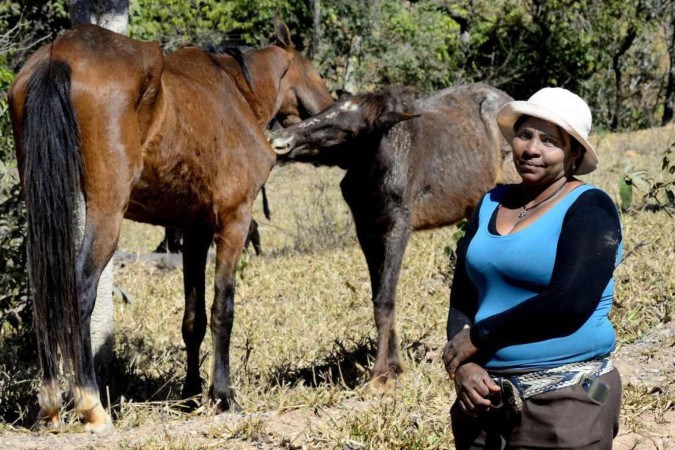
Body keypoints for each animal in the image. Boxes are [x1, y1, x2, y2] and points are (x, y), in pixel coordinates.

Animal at [5, 17, 332, 432]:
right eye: (314, 72)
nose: (330, 111)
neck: (236, 93)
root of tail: (58, 55)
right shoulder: (234, 221)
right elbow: (222, 310)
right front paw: (223, 395)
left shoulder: (193, 231)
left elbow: (193, 320)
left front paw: (191, 393)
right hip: (107, 211)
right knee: (77, 287)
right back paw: (91, 403)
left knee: (44, 288)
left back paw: (49, 403)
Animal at [270, 83, 516, 390]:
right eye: (329, 109)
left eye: (349, 131)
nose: (280, 141)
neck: (372, 166)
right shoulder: (367, 229)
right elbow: (380, 295)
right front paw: (395, 367)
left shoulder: (399, 224)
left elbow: (386, 298)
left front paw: (380, 374)